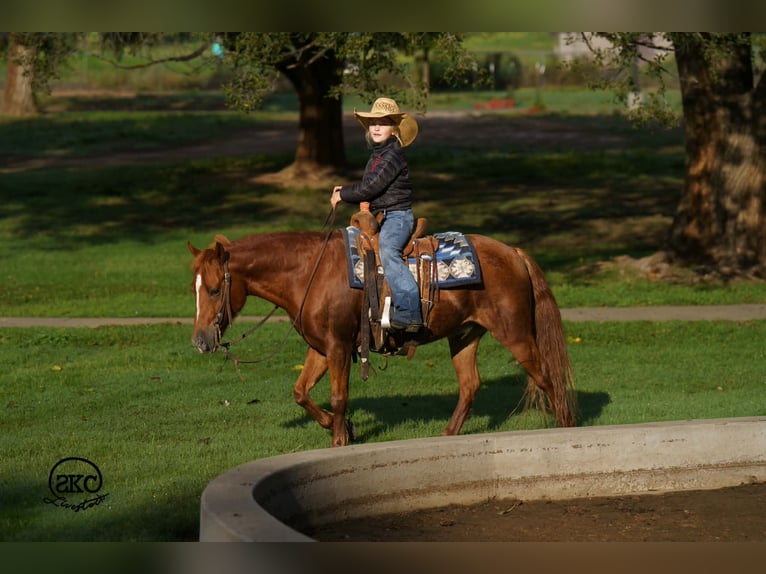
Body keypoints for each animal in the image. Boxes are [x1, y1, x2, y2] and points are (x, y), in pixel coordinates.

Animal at [188, 228, 576, 447]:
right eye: (194, 288)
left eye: (213, 289)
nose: (201, 341)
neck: (309, 273)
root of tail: (514, 253)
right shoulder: (320, 348)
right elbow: (301, 393)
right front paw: (346, 429)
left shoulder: (339, 346)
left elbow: (339, 396)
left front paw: (339, 440)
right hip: (465, 334)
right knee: (470, 385)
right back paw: (446, 437)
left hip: (516, 334)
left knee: (547, 377)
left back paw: (567, 430)